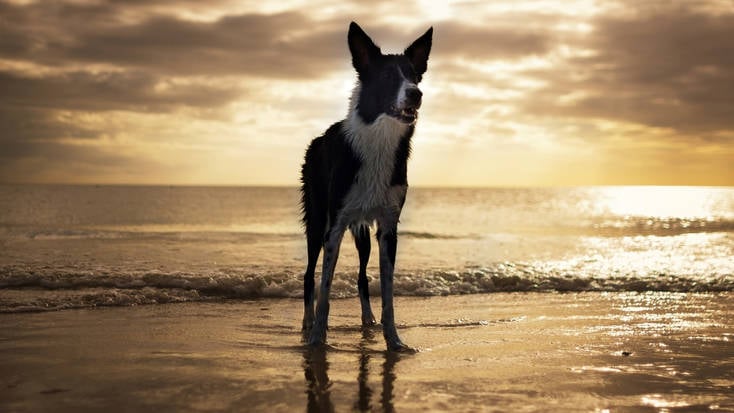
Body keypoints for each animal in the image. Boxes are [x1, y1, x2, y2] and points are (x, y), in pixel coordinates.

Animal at [302, 22, 434, 350]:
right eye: (387, 76)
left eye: (414, 75)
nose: (416, 94)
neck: (379, 140)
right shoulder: (334, 227)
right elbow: (325, 288)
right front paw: (318, 338)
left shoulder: (388, 228)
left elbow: (387, 293)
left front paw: (394, 341)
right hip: (316, 220)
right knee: (309, 275)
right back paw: (307, 324)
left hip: (361, 230)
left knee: (362, 276)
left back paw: (367, 320)